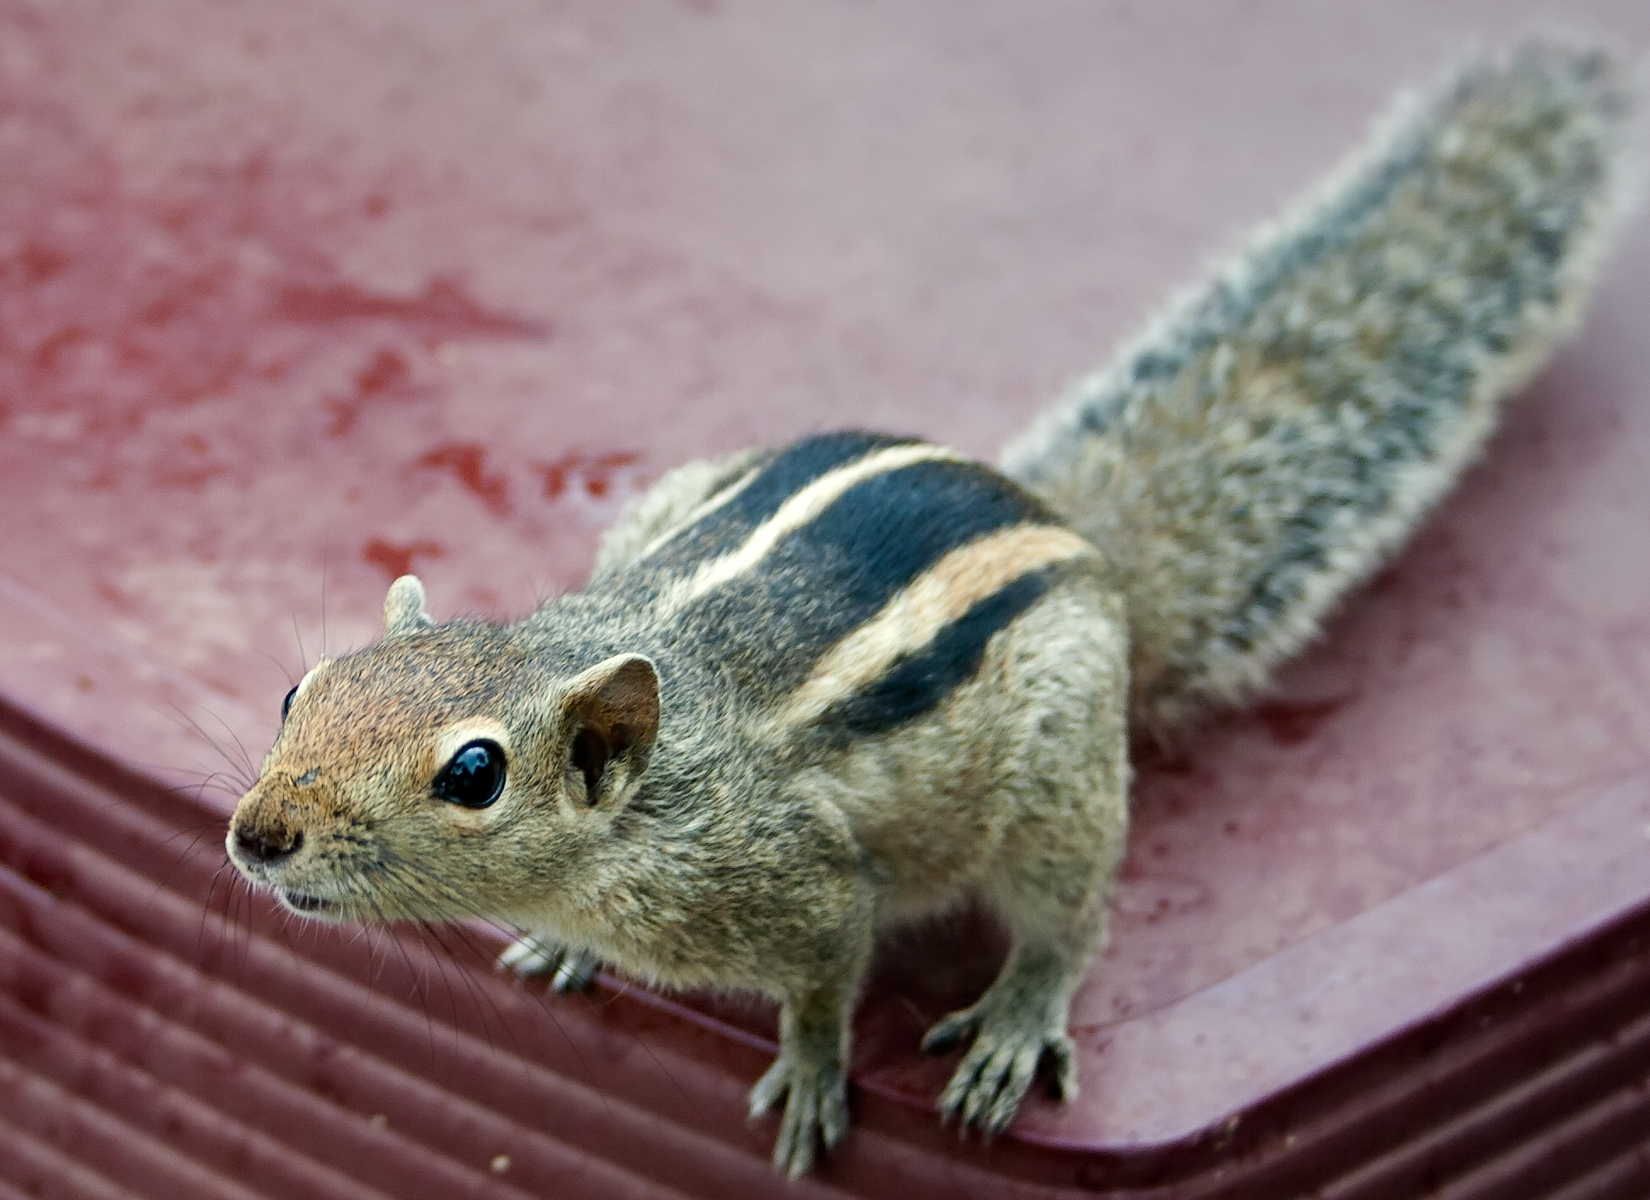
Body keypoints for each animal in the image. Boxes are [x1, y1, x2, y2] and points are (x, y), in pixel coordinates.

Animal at [226, 44, 1630, 1175]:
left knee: (1070, 913)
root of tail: (1073, 531)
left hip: (1061, 777)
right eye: (302, 690)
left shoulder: (802, 890)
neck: (645, 806)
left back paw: (1016, 1017)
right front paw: (568, 952)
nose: (258, 836)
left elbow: (826, 982)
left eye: (472, 773)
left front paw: (810, 1072)